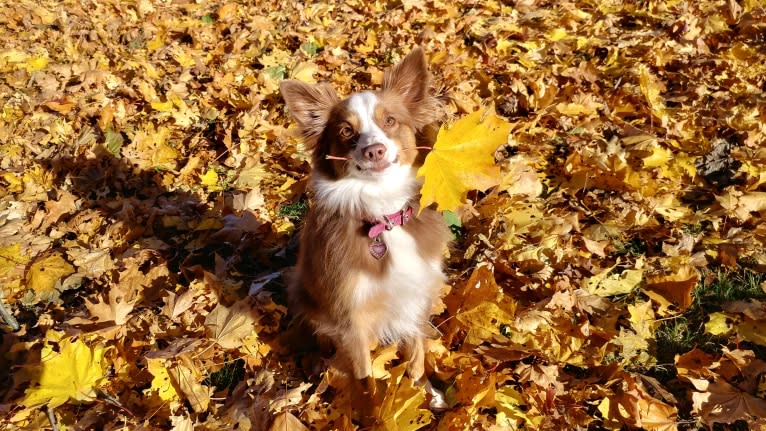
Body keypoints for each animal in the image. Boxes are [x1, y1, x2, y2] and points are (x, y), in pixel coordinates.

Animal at [280, 48, 450, 418]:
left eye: (390, 121)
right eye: (346, 131)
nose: (374, 150)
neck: (382, 213)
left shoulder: (416, 294)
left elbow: (416, 352)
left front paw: (421, 390)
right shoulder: (350, 316)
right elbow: (364, 378)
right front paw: (375, 415)